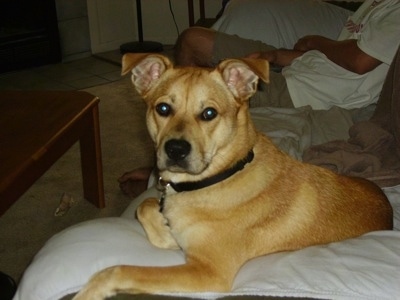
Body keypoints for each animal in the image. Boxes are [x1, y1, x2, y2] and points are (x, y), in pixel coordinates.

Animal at [72, 52, 394, 298]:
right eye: (162, 108)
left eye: (209, 113)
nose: (175, 150)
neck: (220, 176)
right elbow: (145, 205)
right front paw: (165, 230)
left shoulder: (209, 271)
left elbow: (118, 269)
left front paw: (90, 291)